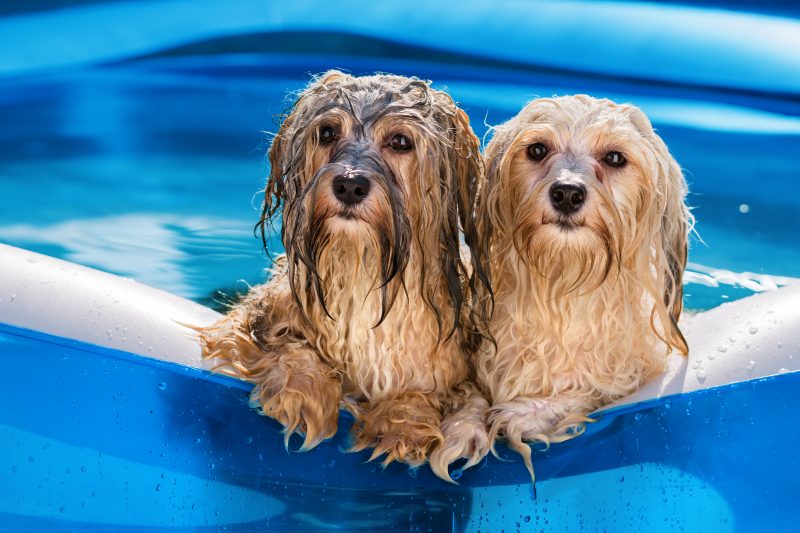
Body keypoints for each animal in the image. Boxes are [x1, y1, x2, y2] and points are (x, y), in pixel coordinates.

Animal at [198, 69, 494, 478]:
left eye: (400, 141)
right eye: (327, 132)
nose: (349, 184)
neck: (363, 267)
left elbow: (436, 393)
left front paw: (404, 422)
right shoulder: (252, 318)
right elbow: (289, 343)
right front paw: (302, 393)